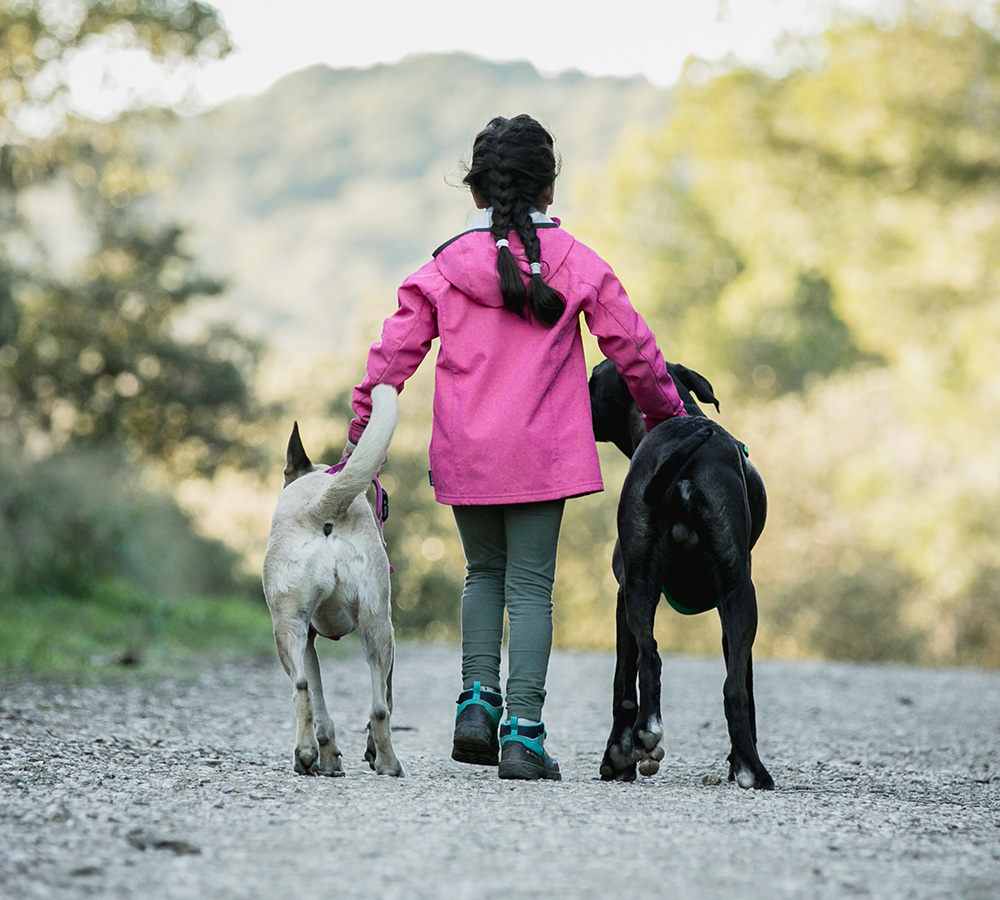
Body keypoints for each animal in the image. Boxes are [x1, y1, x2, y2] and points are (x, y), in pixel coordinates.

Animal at [266, 384, 406, 776]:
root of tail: (321, 507)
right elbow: (386, 697)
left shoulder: (307, 643)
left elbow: (320, 708)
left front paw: (325, 758)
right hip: (377, 627)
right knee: (379, 707)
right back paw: (389, 764)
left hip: (291, 629)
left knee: (301, 687)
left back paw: (305, 755)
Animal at [588, 358, 768, 788]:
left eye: (592, 380)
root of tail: (686, 466)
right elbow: (745, 684)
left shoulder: (623, 591)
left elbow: (623, 680)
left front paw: (619, 755)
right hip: (737, 595)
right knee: (733, 688)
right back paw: (752, 769)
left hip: (644, 588)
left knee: (650, 659)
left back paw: (647, 732)